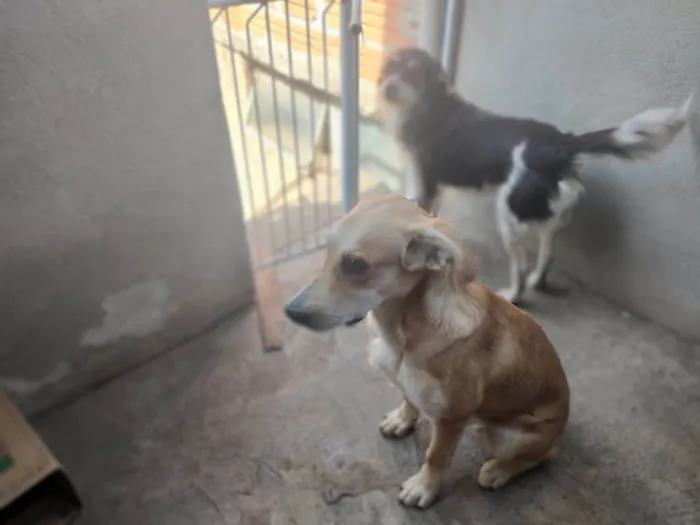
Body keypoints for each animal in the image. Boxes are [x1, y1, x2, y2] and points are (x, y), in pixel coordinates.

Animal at [284, 193, 568, 508]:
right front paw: (401, 420)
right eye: (327, 250)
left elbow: (436, 456)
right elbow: (408, 399)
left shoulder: (451, 418)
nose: (291, 312)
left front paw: (424, 488)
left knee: (545, 455)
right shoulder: (415, 391)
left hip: (509, 437)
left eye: (356, 264)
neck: (402, 336)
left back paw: (498, 470)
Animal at [374, 48, 692, 302]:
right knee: (548, 255)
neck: (429, 105)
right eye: (391, 67)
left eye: (414, 72)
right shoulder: (435, 184)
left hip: (510, 216)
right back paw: (538, 282)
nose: (388, 88)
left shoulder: (425, 180)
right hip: (547, 216)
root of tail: (561, 144)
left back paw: (514, 295)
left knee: (522, 264)